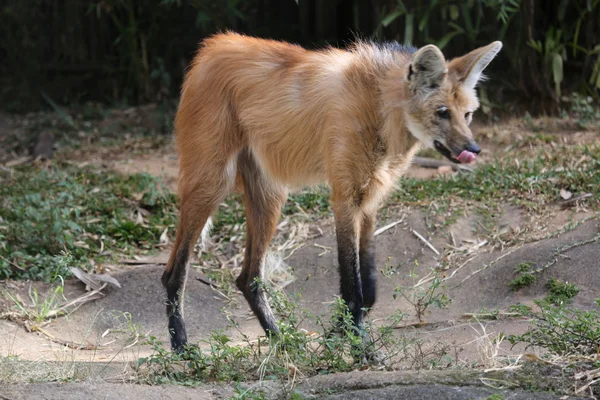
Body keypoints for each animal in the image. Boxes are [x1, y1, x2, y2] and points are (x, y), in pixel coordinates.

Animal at [161, 32, 502, 350]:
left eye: (467, 114)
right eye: (442, 112)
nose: (473, 149)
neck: (379, 107)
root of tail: (210, 47)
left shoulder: (369, 200)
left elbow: (368, 286)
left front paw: (340, 333)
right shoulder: (345, 197)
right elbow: (352, 285)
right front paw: (360, 348)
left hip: (270, 197)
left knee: (249, 278)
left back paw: (282, 340)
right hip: (211, 184)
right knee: (174, 273)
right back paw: (183, 349)